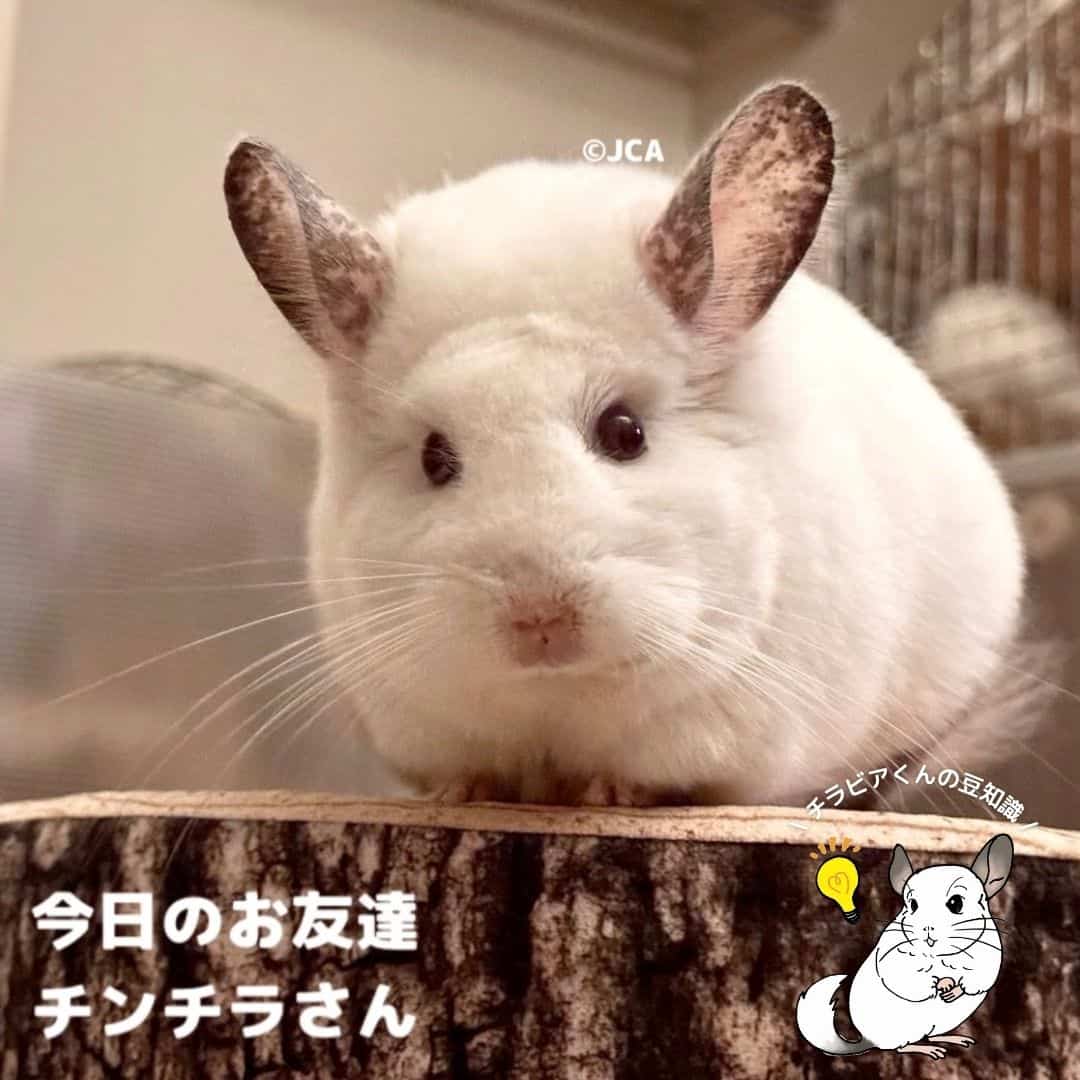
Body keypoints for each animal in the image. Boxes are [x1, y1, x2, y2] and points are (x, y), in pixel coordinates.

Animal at [220, 83, 1027, 807]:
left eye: (624, 433)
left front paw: (610, 793)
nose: (539, 620)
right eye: (434, 457)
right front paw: (465, 792)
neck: (554, 705)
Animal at [796, 833, 1013, 1059]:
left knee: (931, 1035)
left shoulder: (987, 958)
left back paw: (953, 1039)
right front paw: (942, 983)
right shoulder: (895, 958)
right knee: (902, 1047)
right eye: (913, 905)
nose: (927, 928)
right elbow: (913, 979)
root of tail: (868, 1040)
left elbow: (974, 981)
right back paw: (929, 1049)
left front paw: (953, 989)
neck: (941, 954)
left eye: (956, 903)